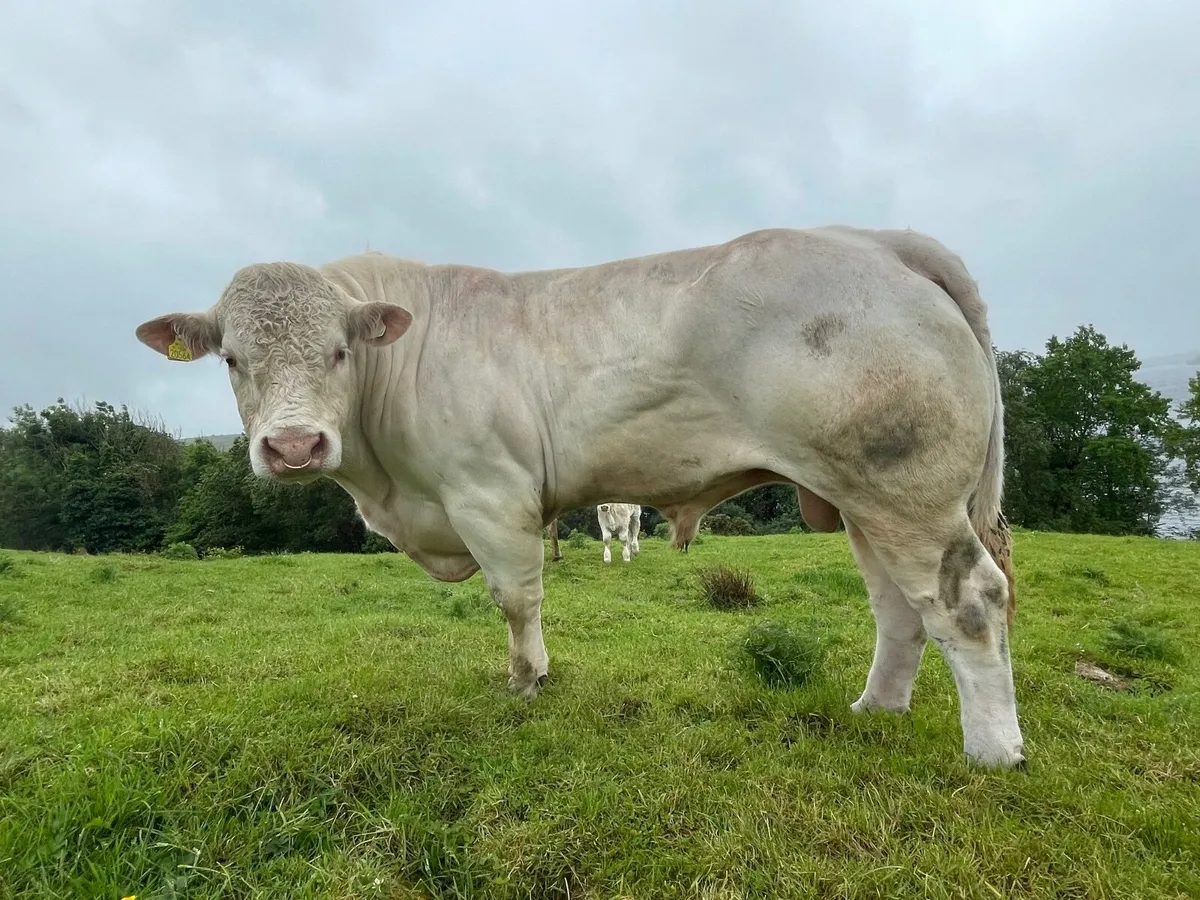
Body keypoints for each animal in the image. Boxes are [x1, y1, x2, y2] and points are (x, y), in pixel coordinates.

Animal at [134, 225, 1024, 768]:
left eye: (338, 350)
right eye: (232, 359)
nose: (293, 446)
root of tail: (876, 240)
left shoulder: (490, 494)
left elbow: (516, 598)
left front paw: (528, 680)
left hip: (904, 490)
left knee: (968, 600)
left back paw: (993, 751)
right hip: (860, 498)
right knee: (900, 608)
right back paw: (877, 707)